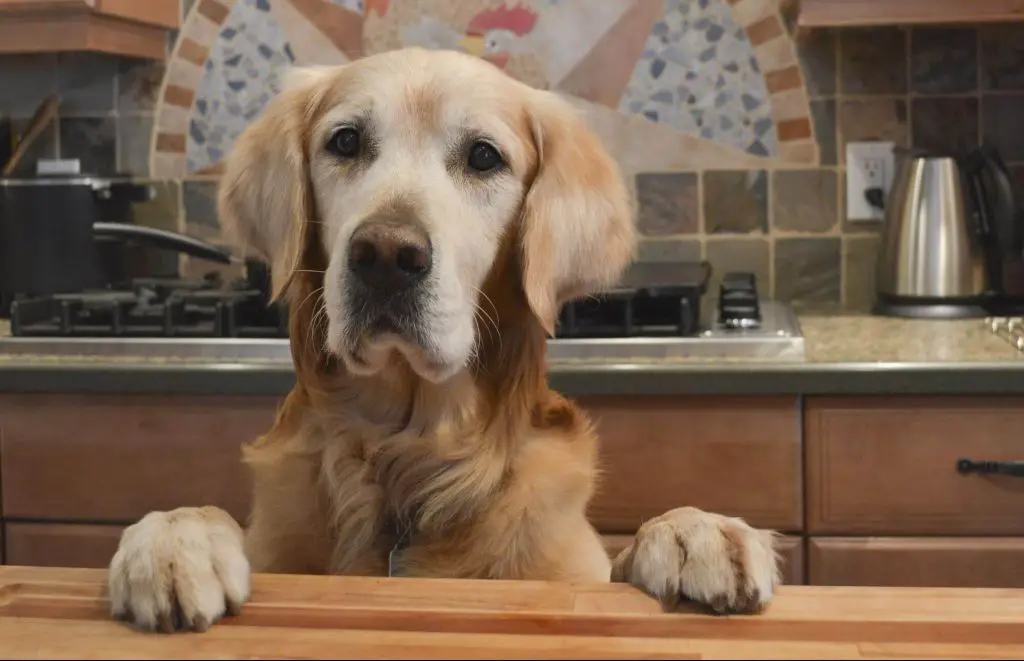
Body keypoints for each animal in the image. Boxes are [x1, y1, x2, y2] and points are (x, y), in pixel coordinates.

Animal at [108, 46, 778, 630]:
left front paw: (694, 531)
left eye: (484, 157)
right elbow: (211, 518)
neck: (409, 454)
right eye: (345, 141)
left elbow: (626, 551)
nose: (385, 255)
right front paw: (173, 536)